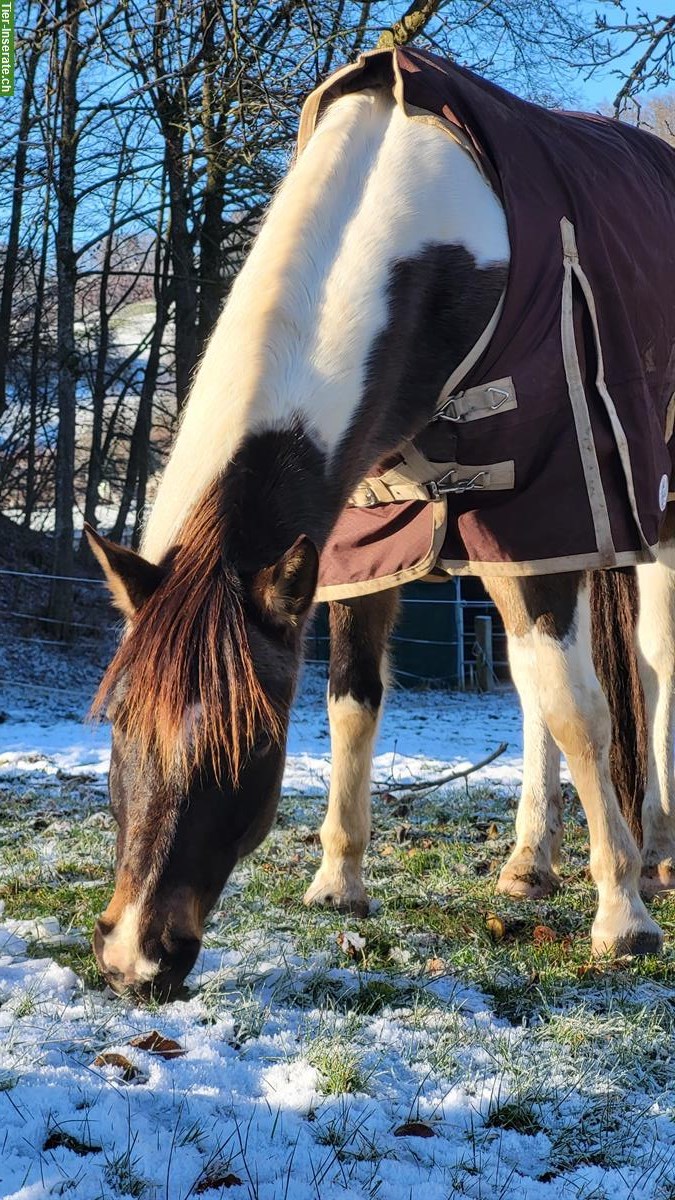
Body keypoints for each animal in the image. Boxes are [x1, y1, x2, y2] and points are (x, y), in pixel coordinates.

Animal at [84, 46, 672, 998]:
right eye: (119, 729)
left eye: (249, 746)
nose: (135, 958)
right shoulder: (366, 541)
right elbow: (355, 699)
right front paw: (340, 882)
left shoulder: (544, 510)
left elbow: (580, 711)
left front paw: (621, 920)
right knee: (534, 687)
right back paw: (527, 861)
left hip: (644, 515)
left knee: (648, 669)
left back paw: (653, 850)